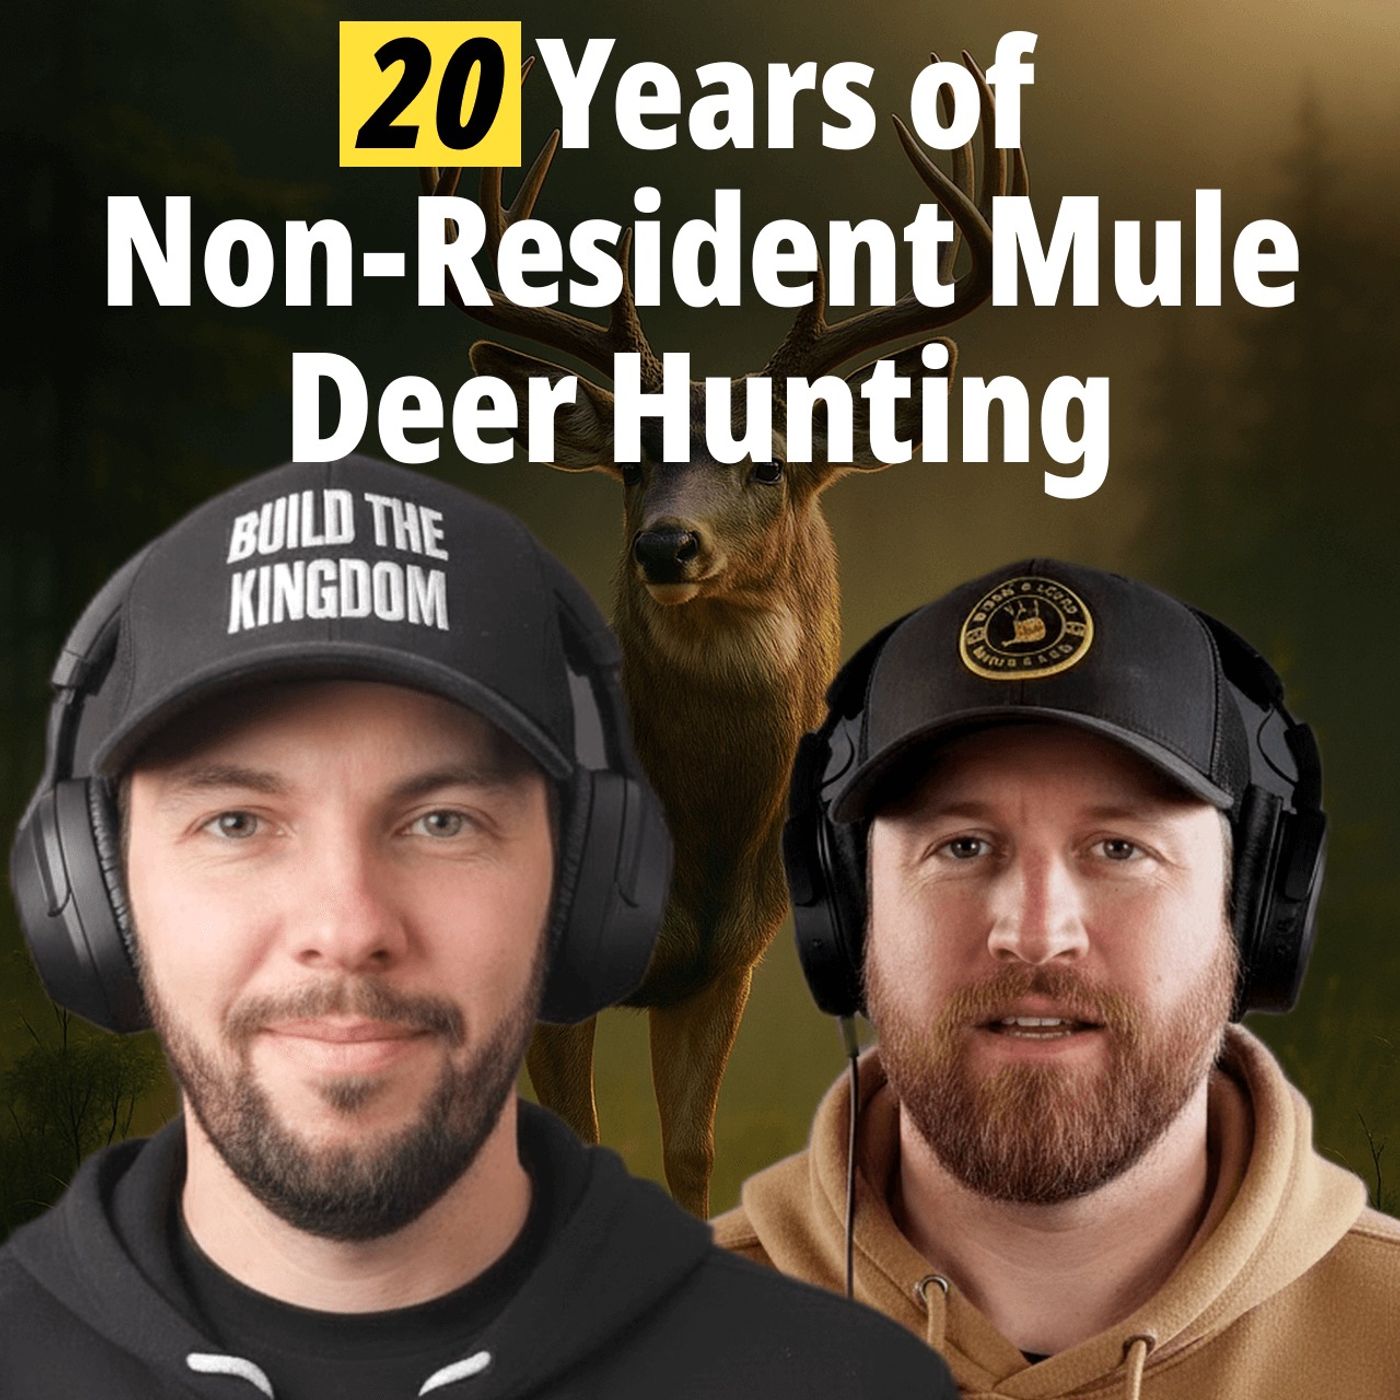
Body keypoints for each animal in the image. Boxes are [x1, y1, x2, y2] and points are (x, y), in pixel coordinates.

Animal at [421, 52, 1027, 1216]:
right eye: (630, 459)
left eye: (770, 463)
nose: (667, 543)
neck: (689, 837)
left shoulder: (721, 965)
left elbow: (689, 1157)